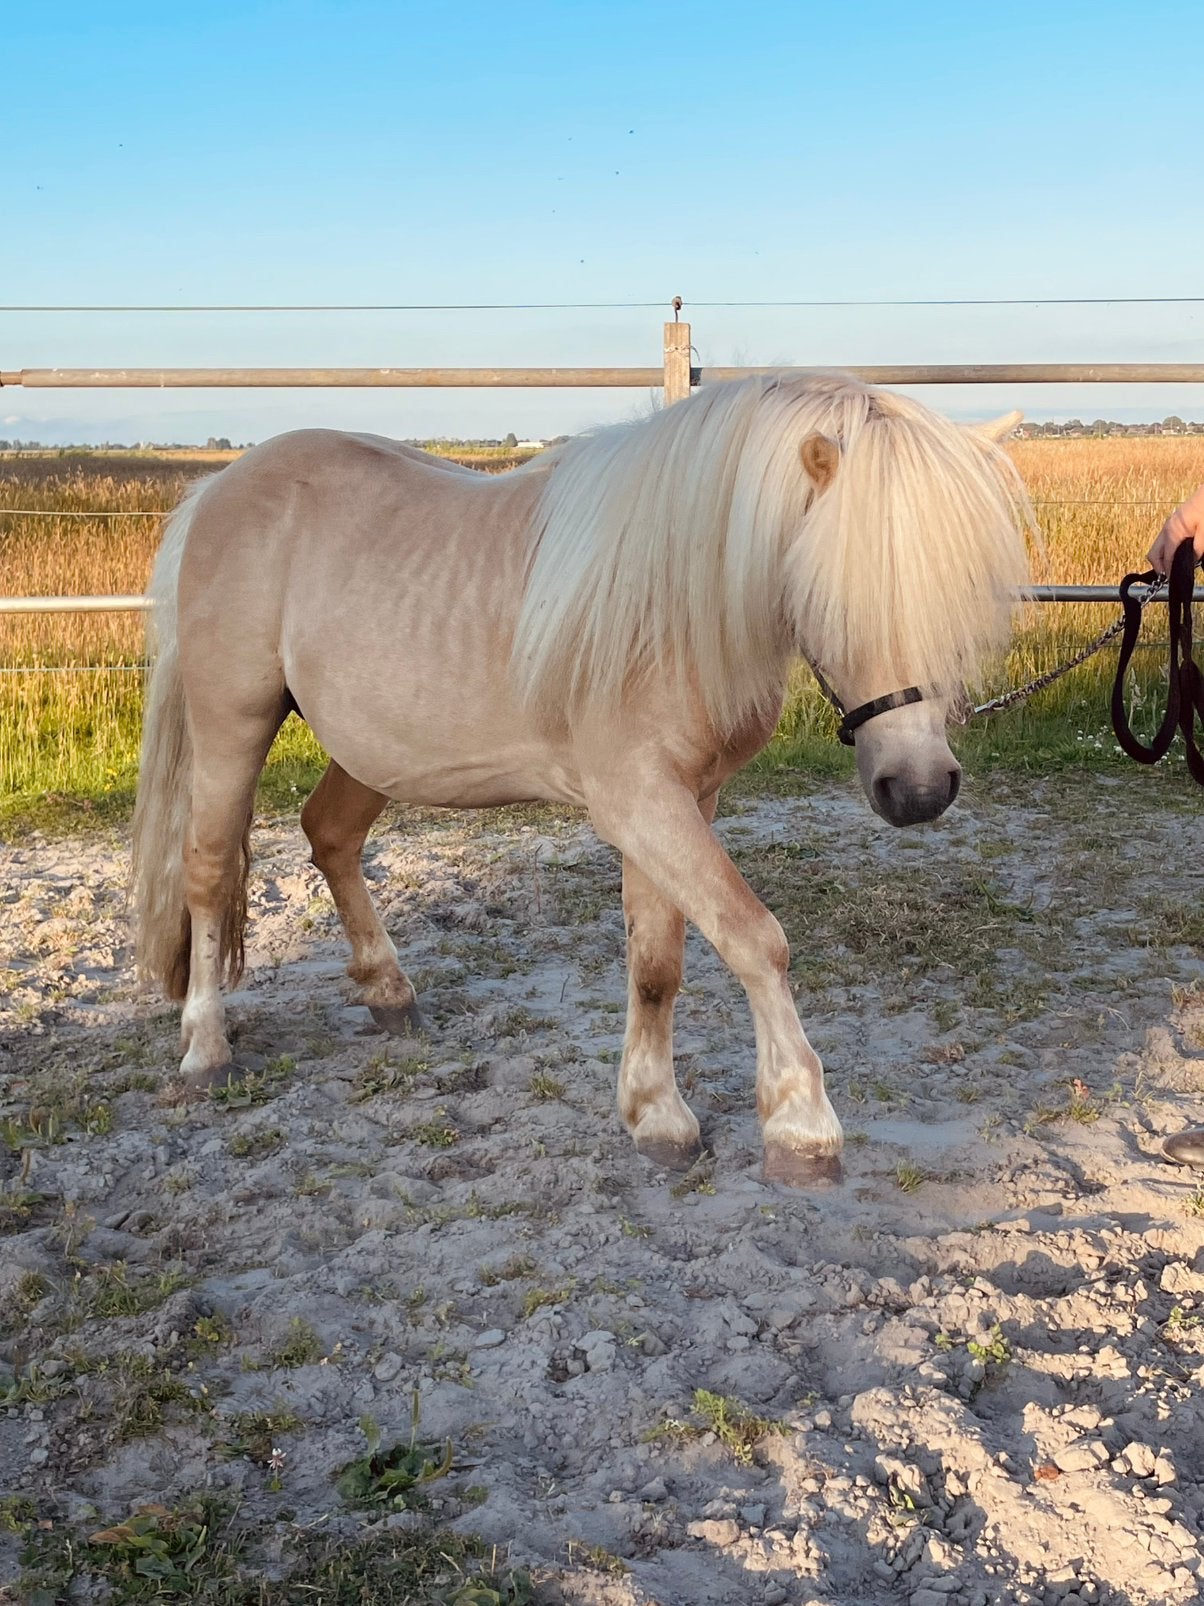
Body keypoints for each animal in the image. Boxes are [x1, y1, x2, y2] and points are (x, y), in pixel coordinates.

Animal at [131, 372, 1032, 1188]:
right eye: (833, 594)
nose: (920, 789)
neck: (667, 606)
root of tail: (215, 489)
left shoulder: (682, 803)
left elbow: (657, 961)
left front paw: (655, 1116)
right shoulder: (640, 802)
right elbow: (754, 938)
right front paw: (801, 1126)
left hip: (373, 749)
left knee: (331, 837)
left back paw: (390, 995)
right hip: (232, 724)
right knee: (208, 871)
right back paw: (205, 1048)